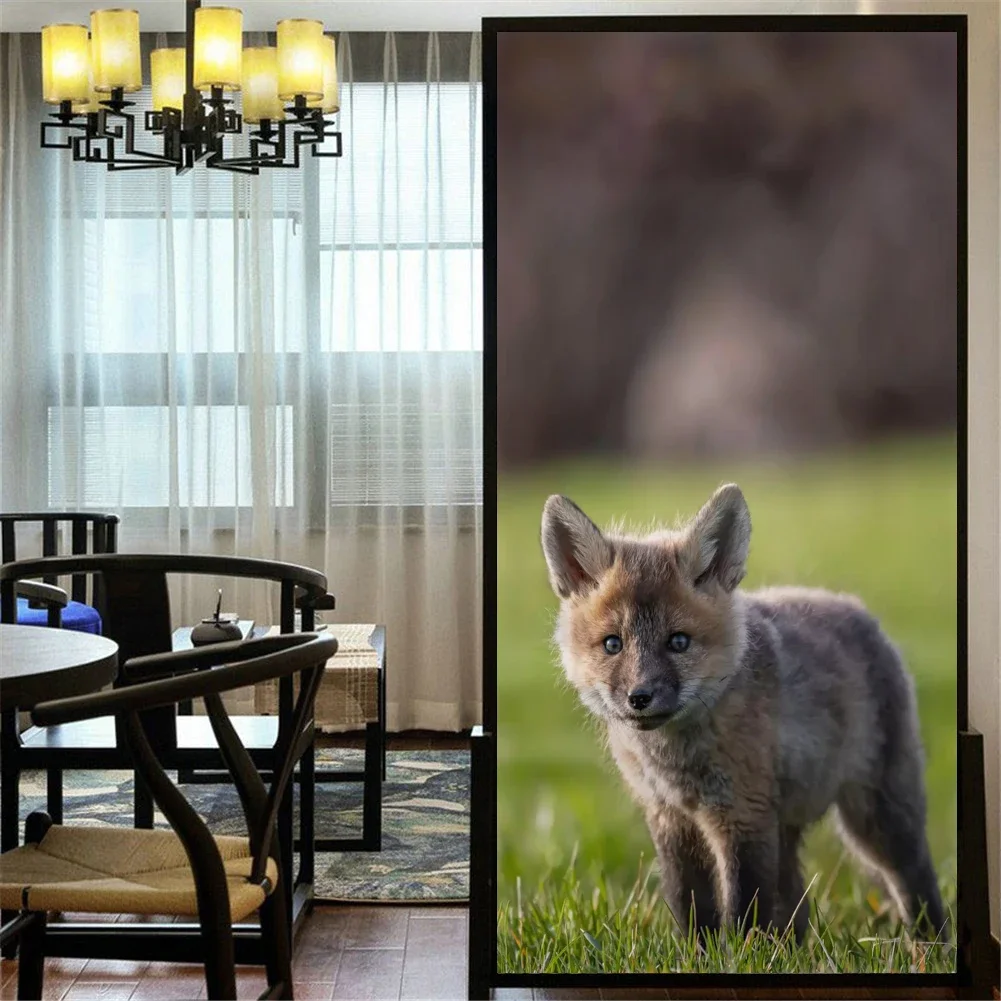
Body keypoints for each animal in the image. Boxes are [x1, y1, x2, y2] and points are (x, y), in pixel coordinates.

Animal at [540, 484, 946, 941]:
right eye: (613, 644)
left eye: (678, 642)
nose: (639, 697)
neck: (677, 763)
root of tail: (857, 609)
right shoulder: (671, 819)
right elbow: (690, 905)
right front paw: (697, 953)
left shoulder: (742, 815)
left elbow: (743, 909)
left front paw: (740, 954)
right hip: (788, 827)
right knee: (797, 904)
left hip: (878, 819)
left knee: (915, 884)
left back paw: (933, 946)